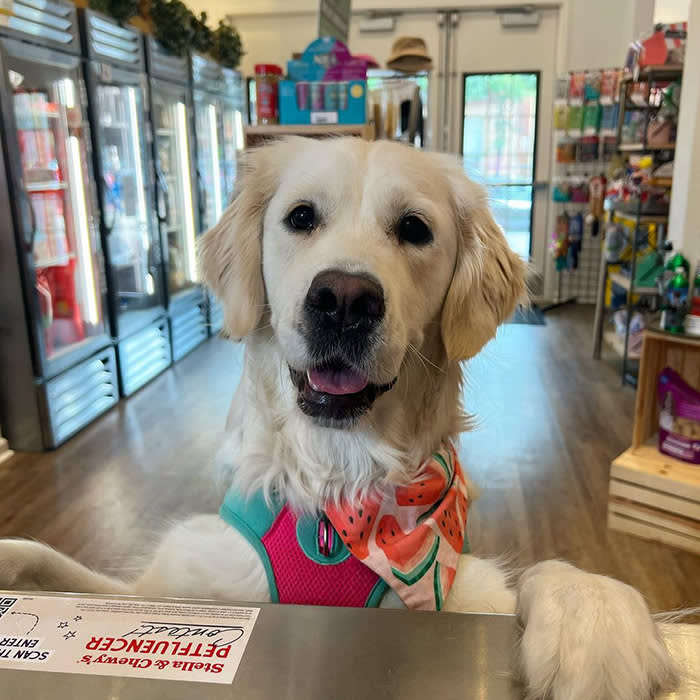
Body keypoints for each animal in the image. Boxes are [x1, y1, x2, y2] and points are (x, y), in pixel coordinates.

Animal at [0, 139, 680, 700]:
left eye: (414, 228)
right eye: (301, 217)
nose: (344, 301)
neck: (340, 490)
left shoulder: (459, 588)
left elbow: (550, 570)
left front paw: (595, 619)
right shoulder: (166, 586)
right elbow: (53, 561)